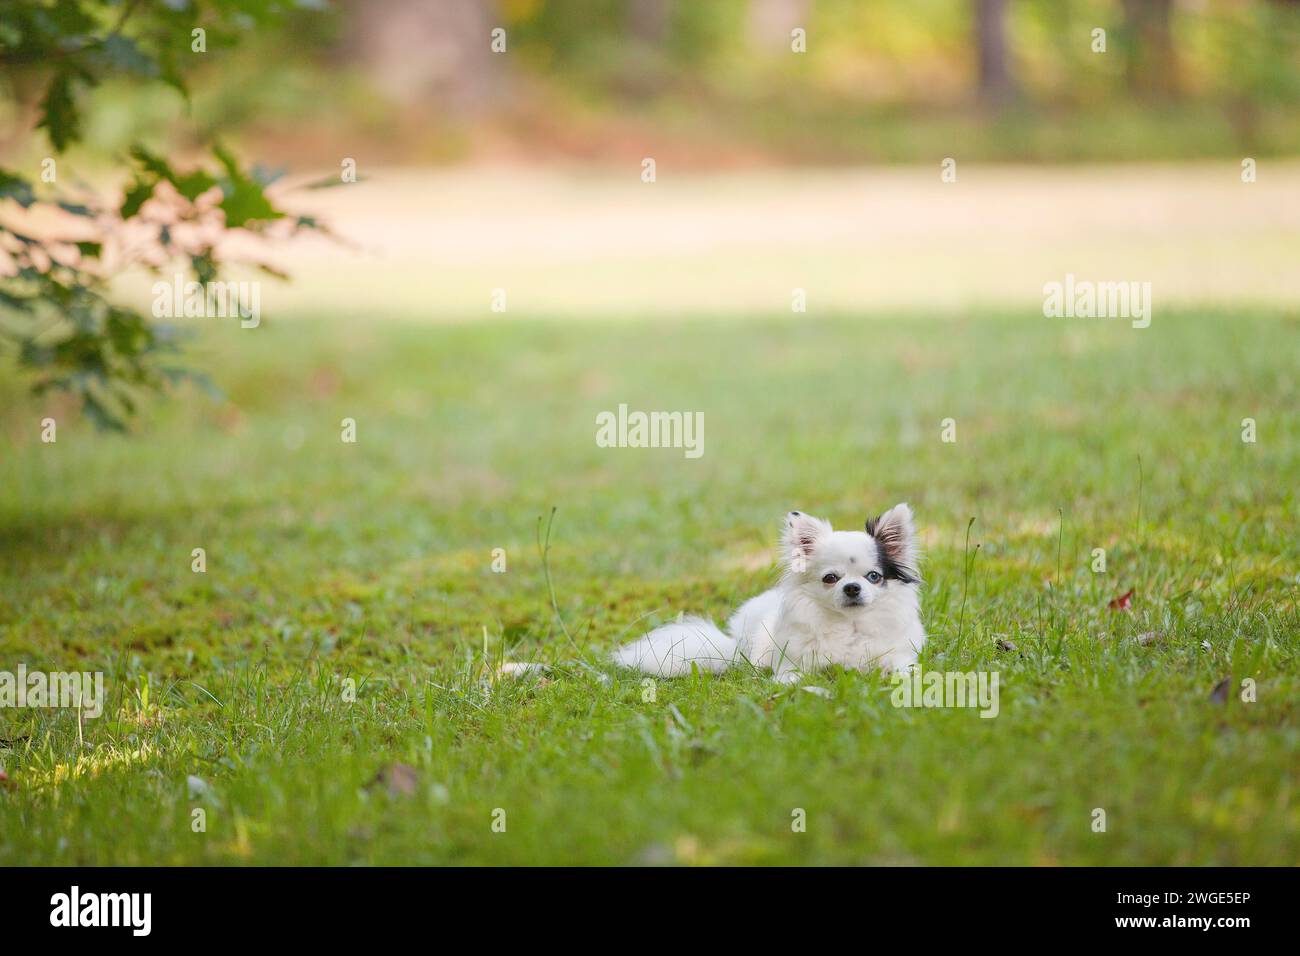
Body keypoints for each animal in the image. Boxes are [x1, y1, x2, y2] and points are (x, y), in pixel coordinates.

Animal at [611, 504, 925, 686]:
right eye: (830, 578)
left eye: (873, 577)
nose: (851, 588)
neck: (850, 626)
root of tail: (734, 642)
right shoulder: (793, 665)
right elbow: (791, 678)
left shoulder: (899, 655)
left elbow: (903, 668)